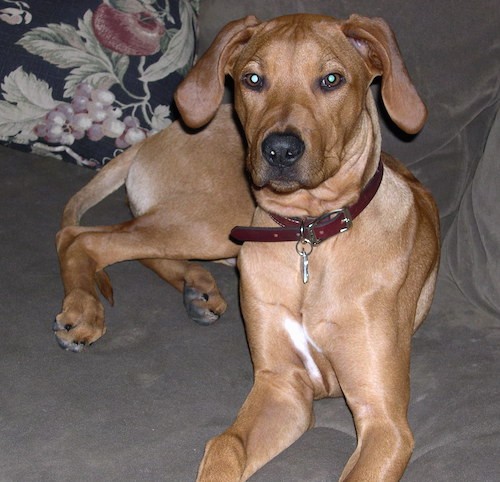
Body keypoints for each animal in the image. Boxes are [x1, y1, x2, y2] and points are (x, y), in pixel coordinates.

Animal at [174, 13, 440, 480]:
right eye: (253, 79)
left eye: (331, 79)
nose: (280, 149)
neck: (310, 234)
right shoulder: (282, 386)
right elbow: (225, 445)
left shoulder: (385, 421)